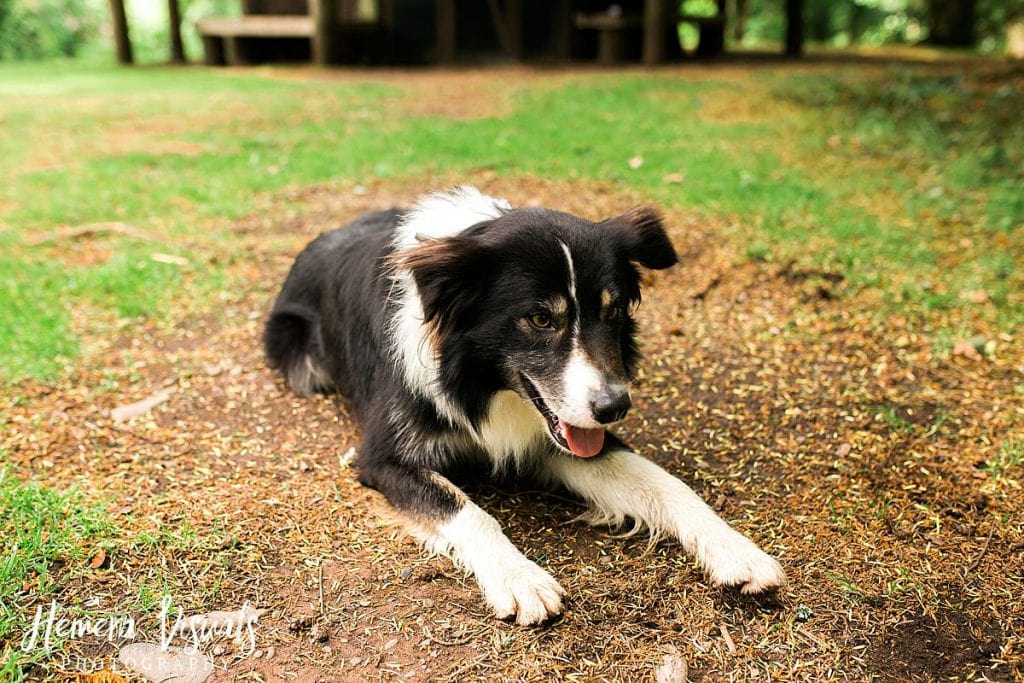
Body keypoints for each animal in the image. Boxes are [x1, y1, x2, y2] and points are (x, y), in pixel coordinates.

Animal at [262, 185, 782, 626]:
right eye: (539, 319)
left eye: (613, 311)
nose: (615, 407)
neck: (484, 386)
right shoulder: (383, 457)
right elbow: (466, 508)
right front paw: (519, 578)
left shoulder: (563, 435)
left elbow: (667, 484)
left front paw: (736, 550)